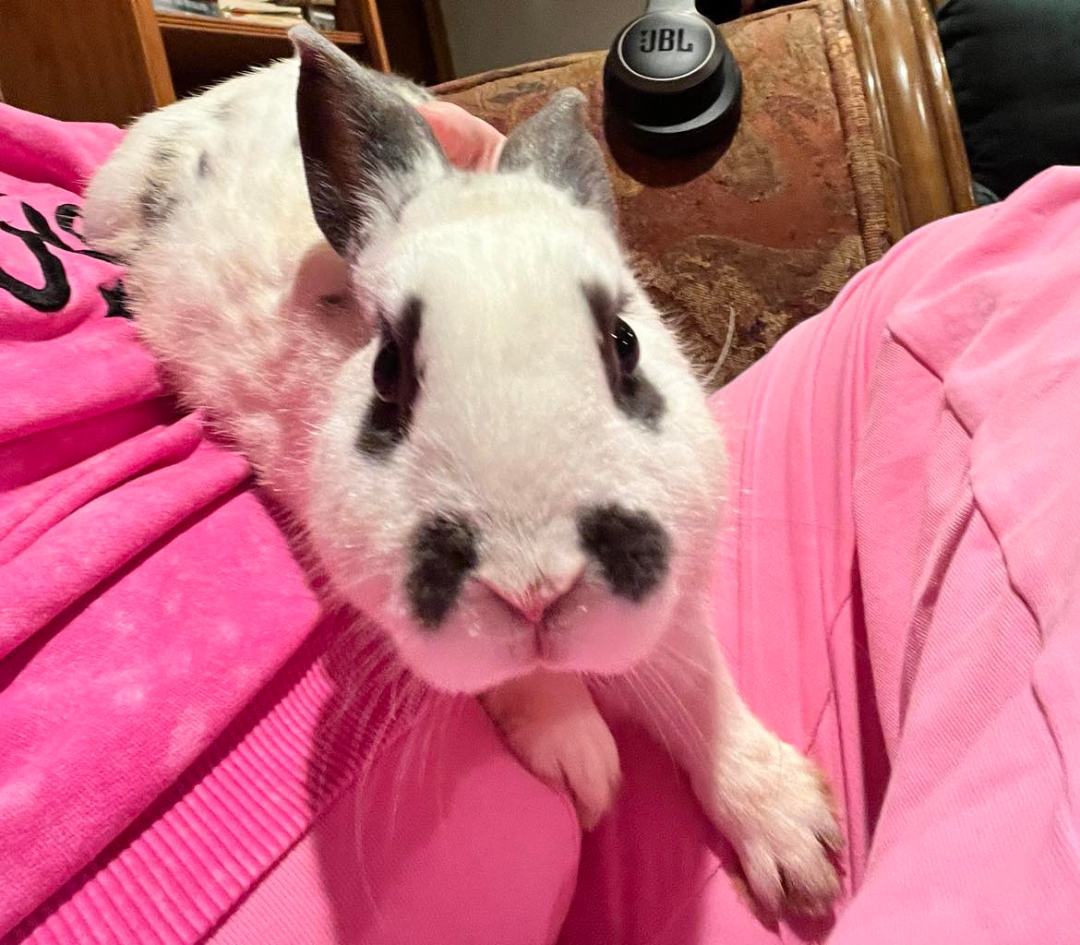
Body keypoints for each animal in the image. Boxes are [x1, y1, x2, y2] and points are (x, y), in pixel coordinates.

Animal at [82, 24, 842, 917]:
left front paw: (798, 840)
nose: (535, 587)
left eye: (625, 342)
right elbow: (524, 684)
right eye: (387, 370)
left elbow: (696, 685)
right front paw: (582, 756)